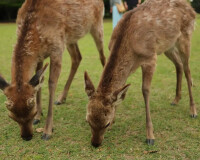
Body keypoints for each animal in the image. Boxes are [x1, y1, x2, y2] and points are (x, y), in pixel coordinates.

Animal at [0, 0, 105, 140]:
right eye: (12, 116)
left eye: (31, 112)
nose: (27, 137)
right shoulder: (40, 56)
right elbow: (39, 82)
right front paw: (39, 117)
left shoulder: (57, 48)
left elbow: (51, 83)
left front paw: (47, 131)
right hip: (70, 37)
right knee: (77, 57)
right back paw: (61, 98)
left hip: (97, 25)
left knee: (103, 56)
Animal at [84, 0, 197, 148]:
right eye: (88, 120)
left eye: (106, 124)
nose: (95, 143)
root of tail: (192, 10)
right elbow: (121, 92)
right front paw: (115, 117)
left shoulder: (150, 58)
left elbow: (145, 90)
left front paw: (150, 136)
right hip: (168, 46)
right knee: (179, 65)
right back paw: (176, 99)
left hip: (185, 37)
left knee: (187, 70)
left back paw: (193, 111)